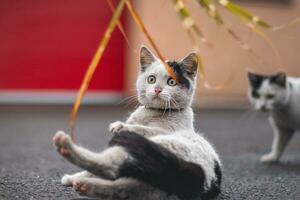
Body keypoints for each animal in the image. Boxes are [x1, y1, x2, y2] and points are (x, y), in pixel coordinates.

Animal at [52, 45, 221, 200]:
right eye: (151, 79)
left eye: (171, 82)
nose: (157, 89)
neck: (153, 113)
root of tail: (202, 179)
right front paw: (72, 177)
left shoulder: (167, 131)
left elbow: (146, 129)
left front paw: (121, 125)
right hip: (148, 188)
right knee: (120, 187)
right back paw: (83, 184)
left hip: (152, 146)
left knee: (112, 167)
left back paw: (66, 146)